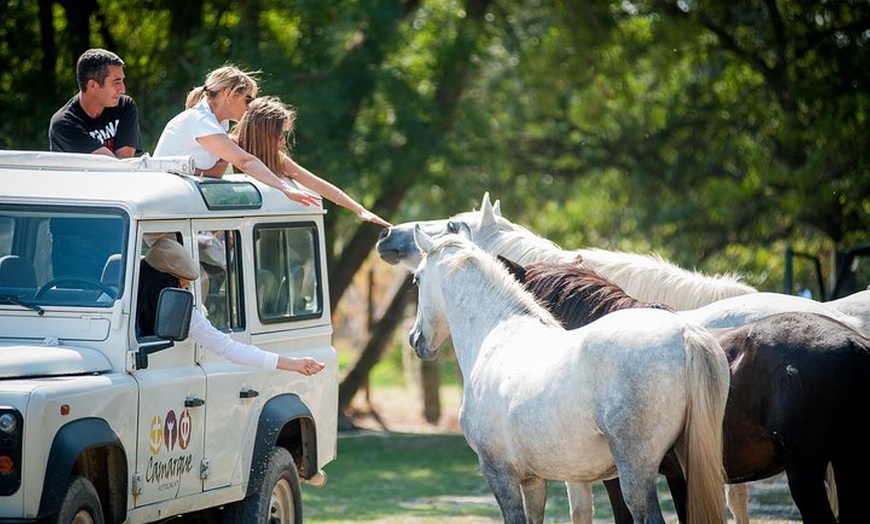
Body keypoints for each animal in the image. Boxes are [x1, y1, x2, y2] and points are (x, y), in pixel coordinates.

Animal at [408, 228, 728, 524]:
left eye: (417, 279)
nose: (415, 339)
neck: (496, 333)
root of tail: (686, 335)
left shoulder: (499, 474)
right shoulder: (533, 479)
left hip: (637, 474)